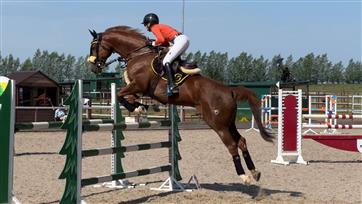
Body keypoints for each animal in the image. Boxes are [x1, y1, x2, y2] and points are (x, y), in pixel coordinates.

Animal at [87, 25, 272, 185]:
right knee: (241, 141)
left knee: (232, 145)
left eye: (93, 46)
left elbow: (120, 95)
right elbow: (127, 97)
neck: (138, 54)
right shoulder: (138, 89)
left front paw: (139, 108)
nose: (94, 67)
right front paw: (142, 107)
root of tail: (229, 90)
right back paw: (255, 172)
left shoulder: (138, 85)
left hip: (217, 124)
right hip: (229, 122)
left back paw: (244, 176)